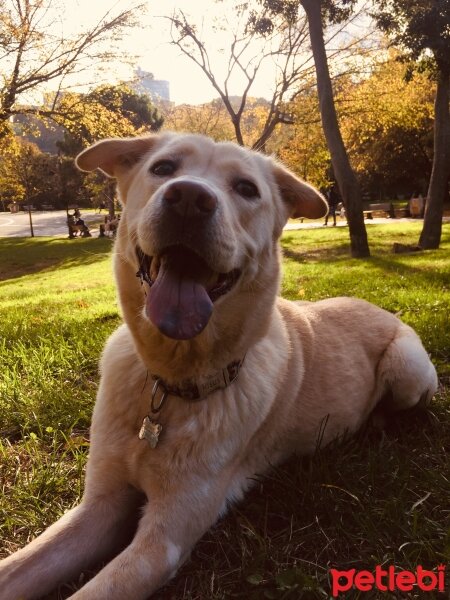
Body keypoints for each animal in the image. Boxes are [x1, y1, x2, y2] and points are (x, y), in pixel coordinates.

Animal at [0, 134, 436, 596]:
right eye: (163, 168)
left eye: (246, 189)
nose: (190, 199)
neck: (168, 384)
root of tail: (377, 305)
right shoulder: (98, 506)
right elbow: (19, 567)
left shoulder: (163, 542)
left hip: (407, 367)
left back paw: (378, 420)